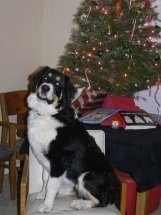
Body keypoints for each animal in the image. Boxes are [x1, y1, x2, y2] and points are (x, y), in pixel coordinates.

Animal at [27, 66, 119, 212]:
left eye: (58, 84)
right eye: (46, 78)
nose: (45, 88)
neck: (49, 114)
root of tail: (115, 192)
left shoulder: (59, 160)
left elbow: (51, 185)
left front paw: (47, 205)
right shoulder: (46, 161)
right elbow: (45, 179)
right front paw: (42, 195)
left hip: (87, 175)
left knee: (102, 201)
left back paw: (80, 203)